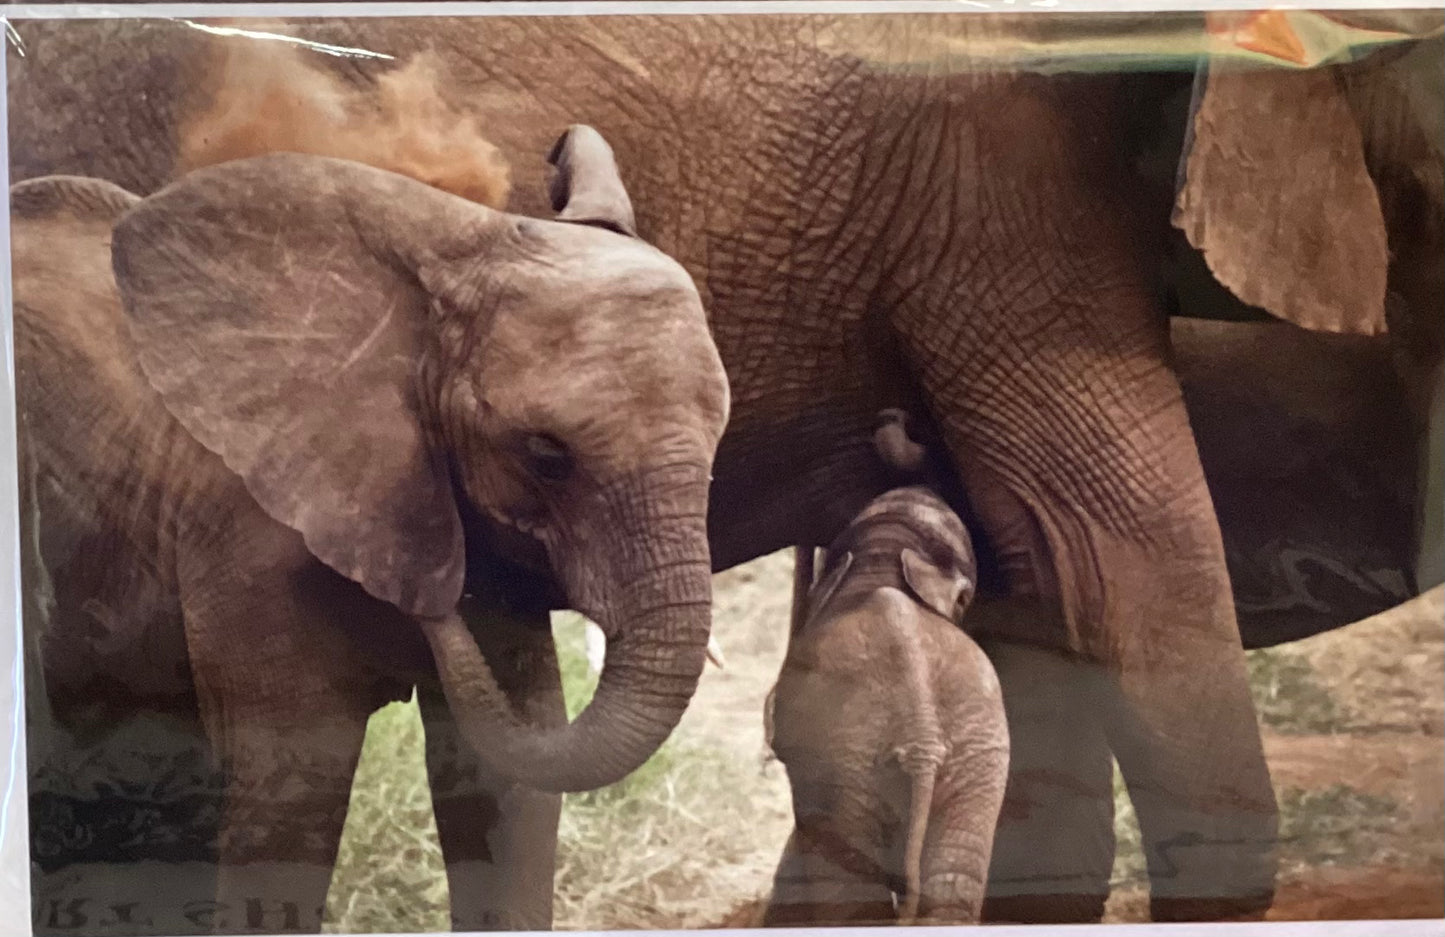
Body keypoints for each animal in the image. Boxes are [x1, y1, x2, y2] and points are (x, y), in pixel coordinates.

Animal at [762, 413, 1007, 926]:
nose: (893, 416)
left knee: (850, 881)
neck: (888, 554)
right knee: (951, 884)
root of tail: (922, 738)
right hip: (976, 754)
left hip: (846, 767)